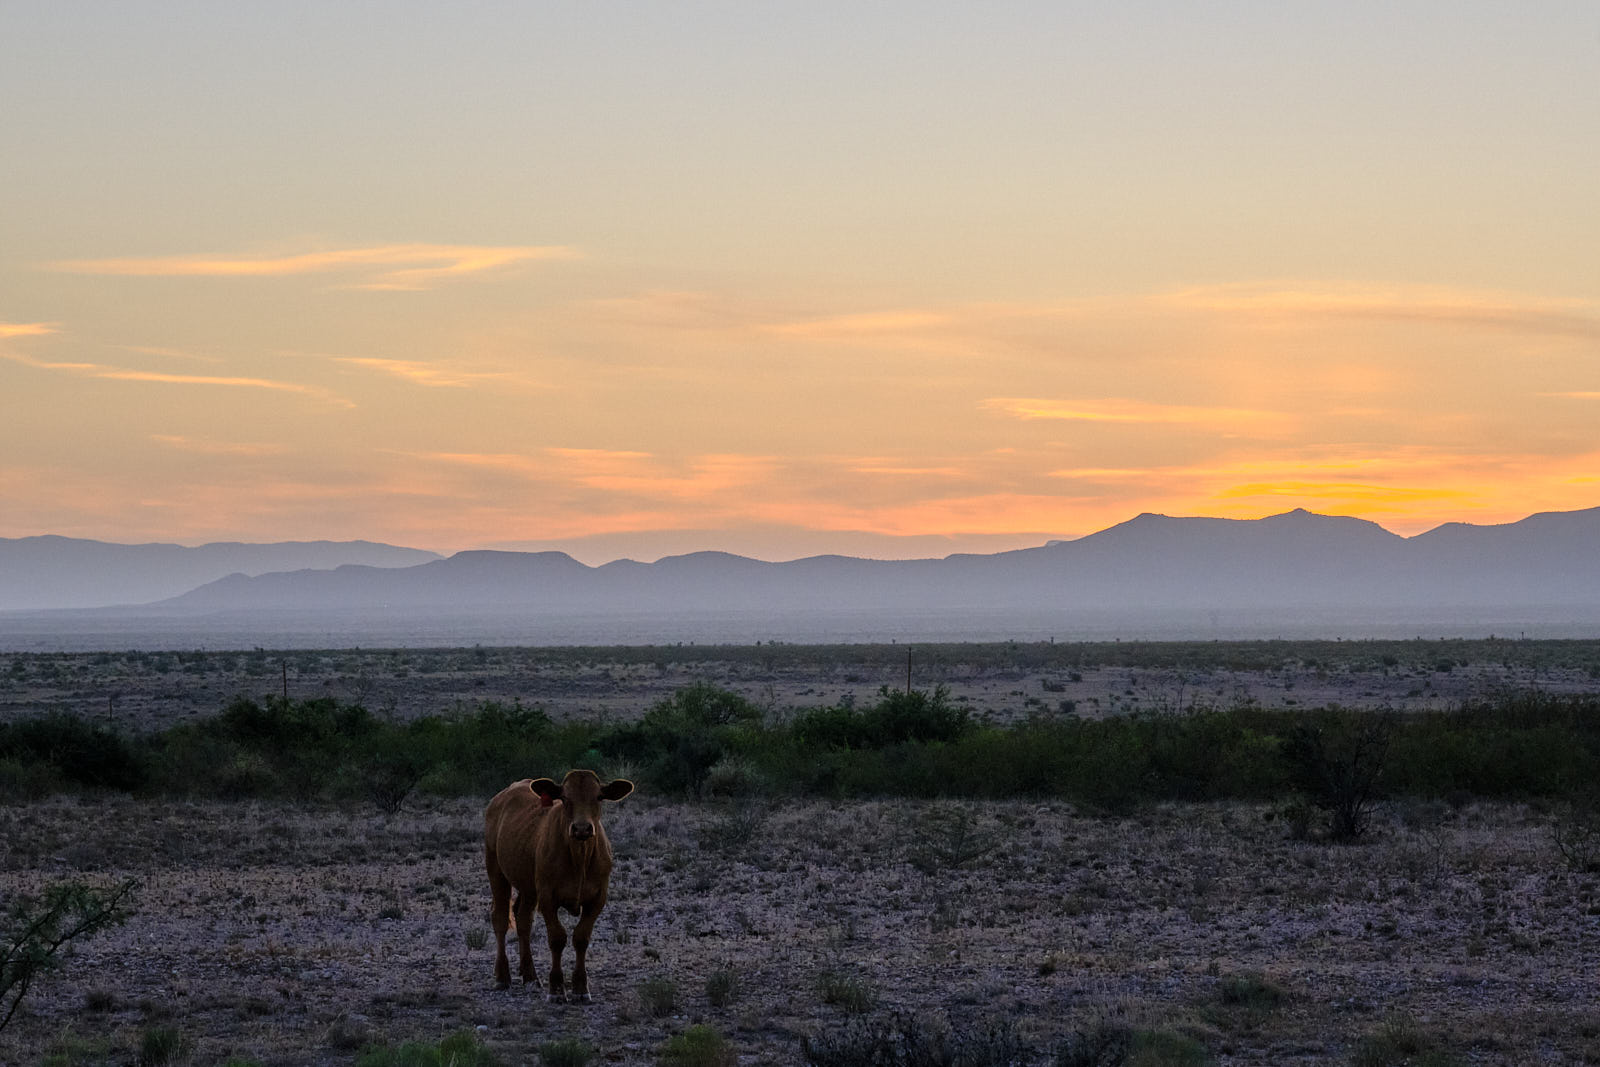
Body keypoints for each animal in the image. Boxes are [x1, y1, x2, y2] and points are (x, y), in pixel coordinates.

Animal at [483, 771, 633, 998]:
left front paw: (580, 988)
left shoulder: (598, 898)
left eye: (599, 797)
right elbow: (557, 938)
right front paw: (556, 988)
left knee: (523, 918)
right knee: (500, 917)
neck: (579, 858)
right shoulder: (547, 896)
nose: (582, 828)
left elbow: (581, 937)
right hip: (496, 869)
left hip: (529, 885)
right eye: (564, 798)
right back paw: (502, 976)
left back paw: (530, 976)